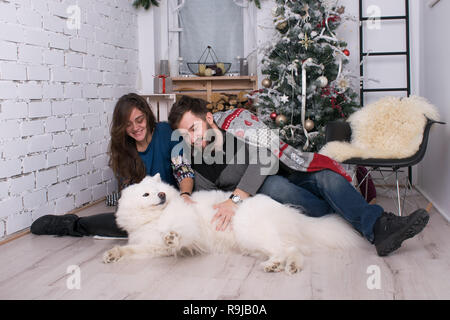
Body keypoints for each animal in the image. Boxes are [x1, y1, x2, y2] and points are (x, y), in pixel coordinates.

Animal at [102, 174, 362, 274]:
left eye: (160, 191)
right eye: (146, 194)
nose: (163, 196)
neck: (153, 219)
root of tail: (285, 210)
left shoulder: (185, 224)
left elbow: (179, 231)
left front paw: (173, 236)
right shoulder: (150, 246)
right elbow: (129, 250)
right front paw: (112, 254)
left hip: (252, 235)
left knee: (283, 249)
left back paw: (276, 264)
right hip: (255, 244)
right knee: (292, 250)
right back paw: (287, 266)